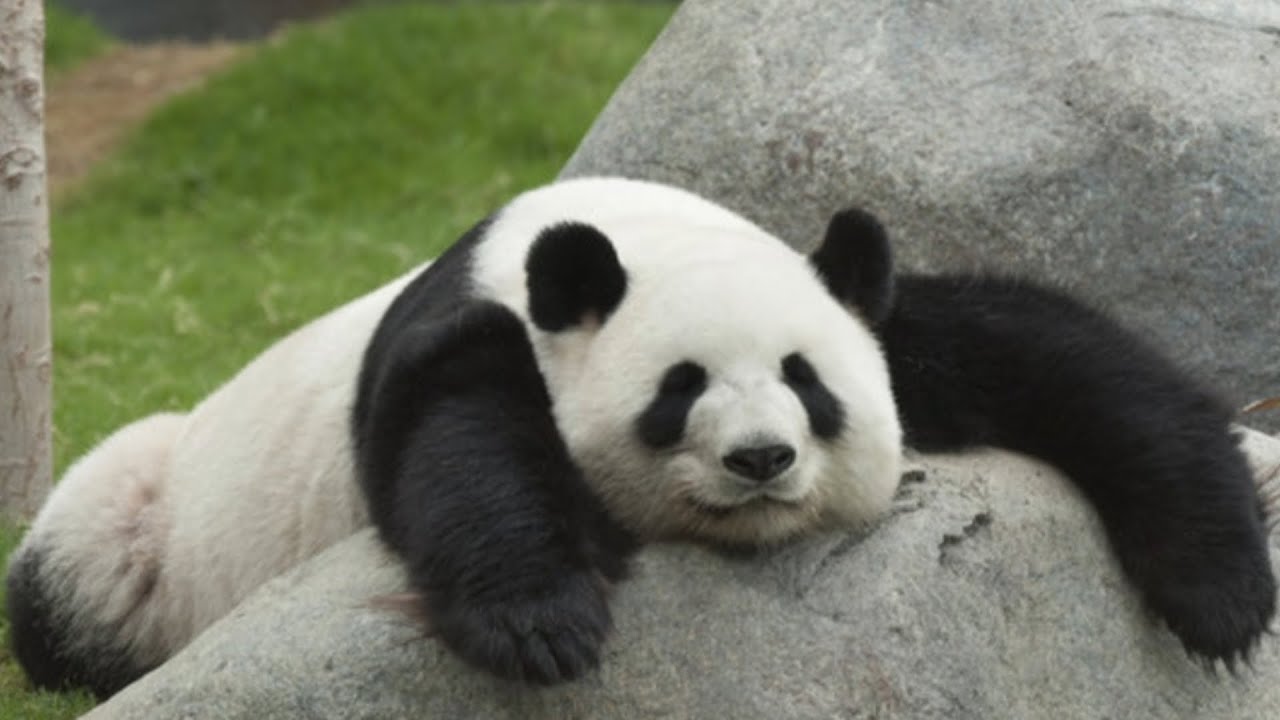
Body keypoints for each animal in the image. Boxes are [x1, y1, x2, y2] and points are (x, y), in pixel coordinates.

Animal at [6, 177, 1274, 697]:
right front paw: (542, 624)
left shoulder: (861, 303)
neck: (631, 231)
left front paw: (1220, 594)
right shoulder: (471, 332)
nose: (759, 459)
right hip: (143, 519)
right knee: (74, 574)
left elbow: (1066, 361)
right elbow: (457, 446)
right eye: (679, 390)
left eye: (806, 385)